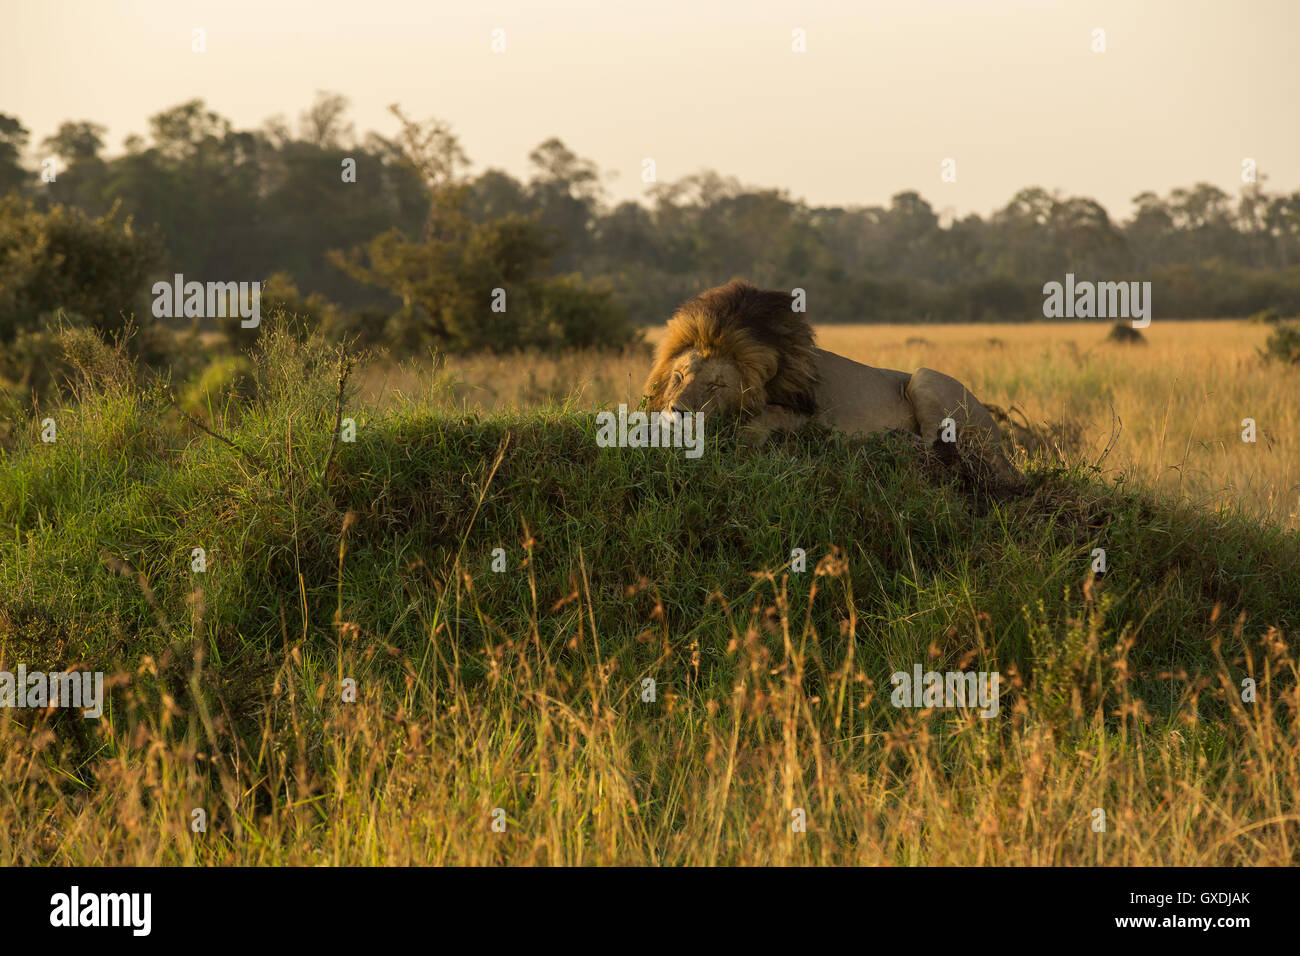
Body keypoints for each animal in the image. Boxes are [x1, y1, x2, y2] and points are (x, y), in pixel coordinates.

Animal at [644, 280, 1019, 481]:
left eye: (716, 386)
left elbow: (763, 420)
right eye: (679, 376)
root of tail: (1002, 443)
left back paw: (888, 440)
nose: (677, 412)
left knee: (935, 445)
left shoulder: (810, 416)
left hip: (924, 377)